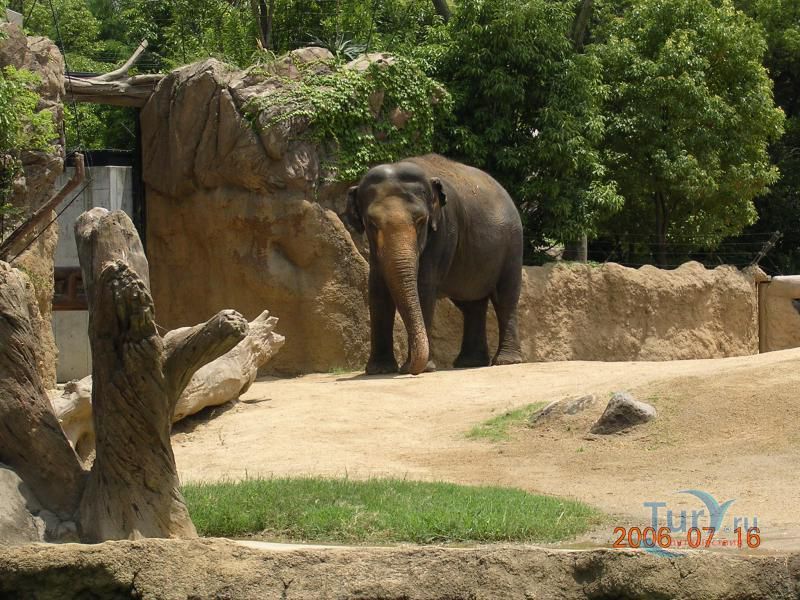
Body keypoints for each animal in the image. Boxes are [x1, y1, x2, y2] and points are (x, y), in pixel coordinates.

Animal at [343, 153, 523, 375]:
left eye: (421, 220)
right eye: (371, 224)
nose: (410, 370)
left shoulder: (444, 229)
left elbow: (424, 287)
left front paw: (420, 368)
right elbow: (378, 290)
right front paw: (379, 370)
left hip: (513, 244)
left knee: (505, 297)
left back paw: (506, 361)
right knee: (472, 305)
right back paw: (469, 362)